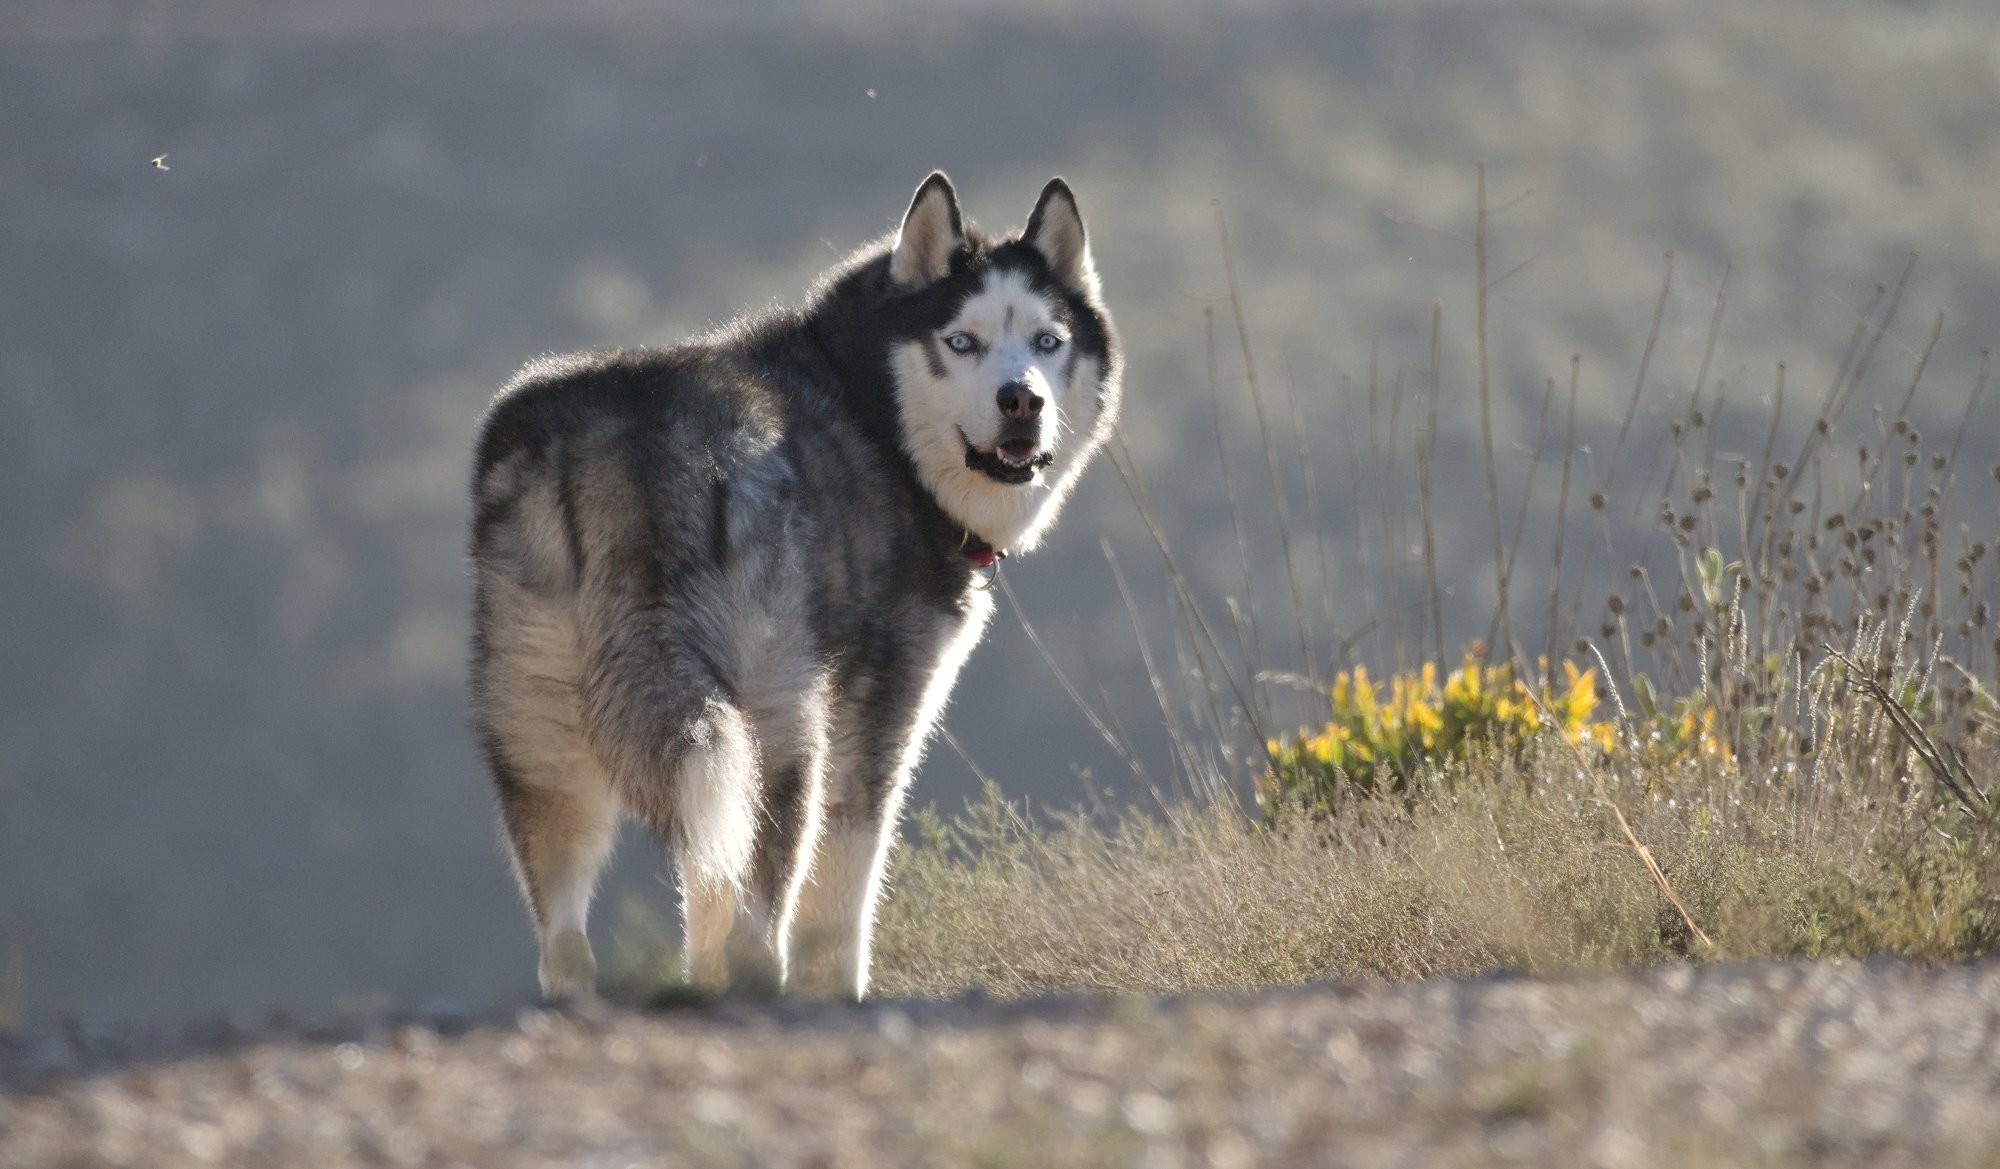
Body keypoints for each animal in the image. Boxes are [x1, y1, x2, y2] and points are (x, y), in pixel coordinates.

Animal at [472, 178, 1128, 1000]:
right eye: (961, 342)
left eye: (1047, 341)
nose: (1022, 401)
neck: (870, 410)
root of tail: (628, 439)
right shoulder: (877, 716)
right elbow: (840, 907)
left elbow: (705, 906)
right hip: (777, 732)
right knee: (758, 925)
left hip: (543, 738)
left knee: (566, 941)